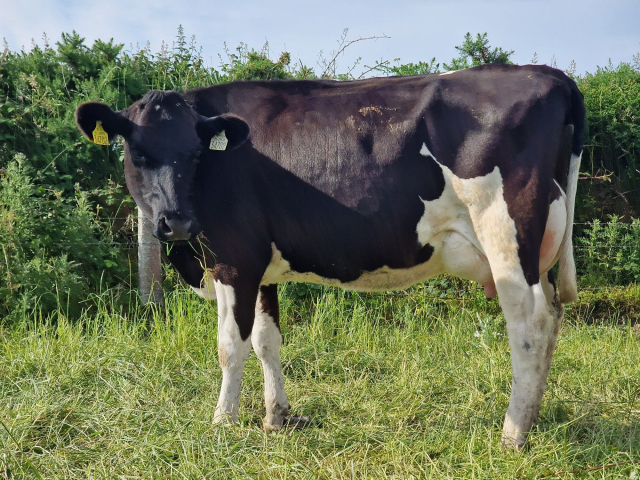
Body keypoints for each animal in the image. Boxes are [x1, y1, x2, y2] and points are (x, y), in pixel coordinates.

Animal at [75, 64, 584, 450]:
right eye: (139, 153)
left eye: (196, 154)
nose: (176, 223)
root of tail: (550, 74)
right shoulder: (260, 265)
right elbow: (267, 340)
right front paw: (276, 417)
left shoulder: (235, 260)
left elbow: (230, 345)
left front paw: (223, 421)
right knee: (553, 318)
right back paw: (533, 417)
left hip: (506, 238)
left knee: (530, 325)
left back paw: (513, 433)